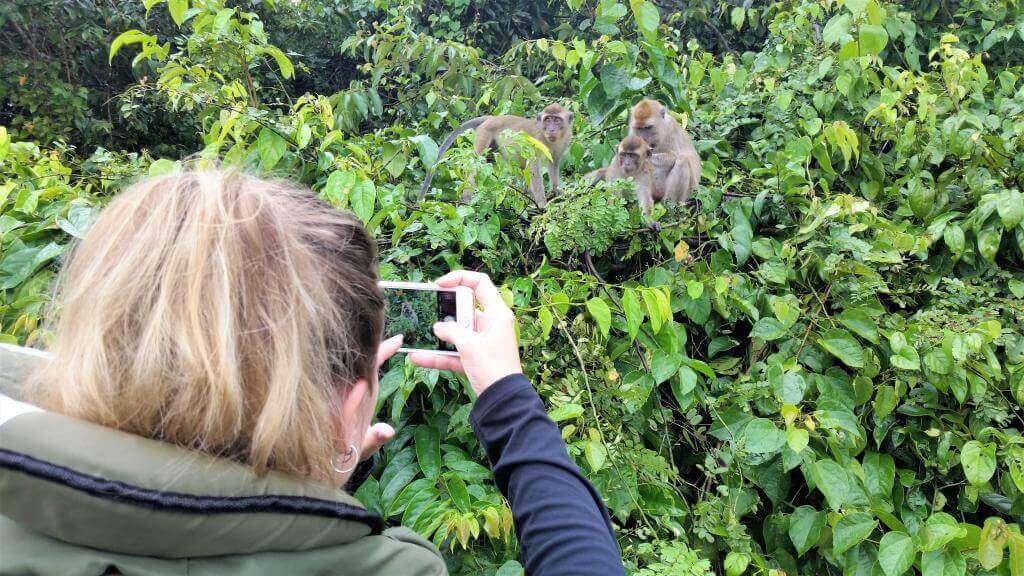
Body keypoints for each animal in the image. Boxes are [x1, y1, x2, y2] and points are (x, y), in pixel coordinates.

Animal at [417, 103, 577, 206]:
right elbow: (534, 169)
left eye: (557, 120)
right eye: (548, 119)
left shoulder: (564, 141)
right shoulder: (536, 141)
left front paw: (559, 192)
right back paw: (466, 199)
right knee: (477, 165)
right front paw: (542, 204)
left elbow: (554, 163)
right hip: (484, 134)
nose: (551, 129)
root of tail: (491, 118)